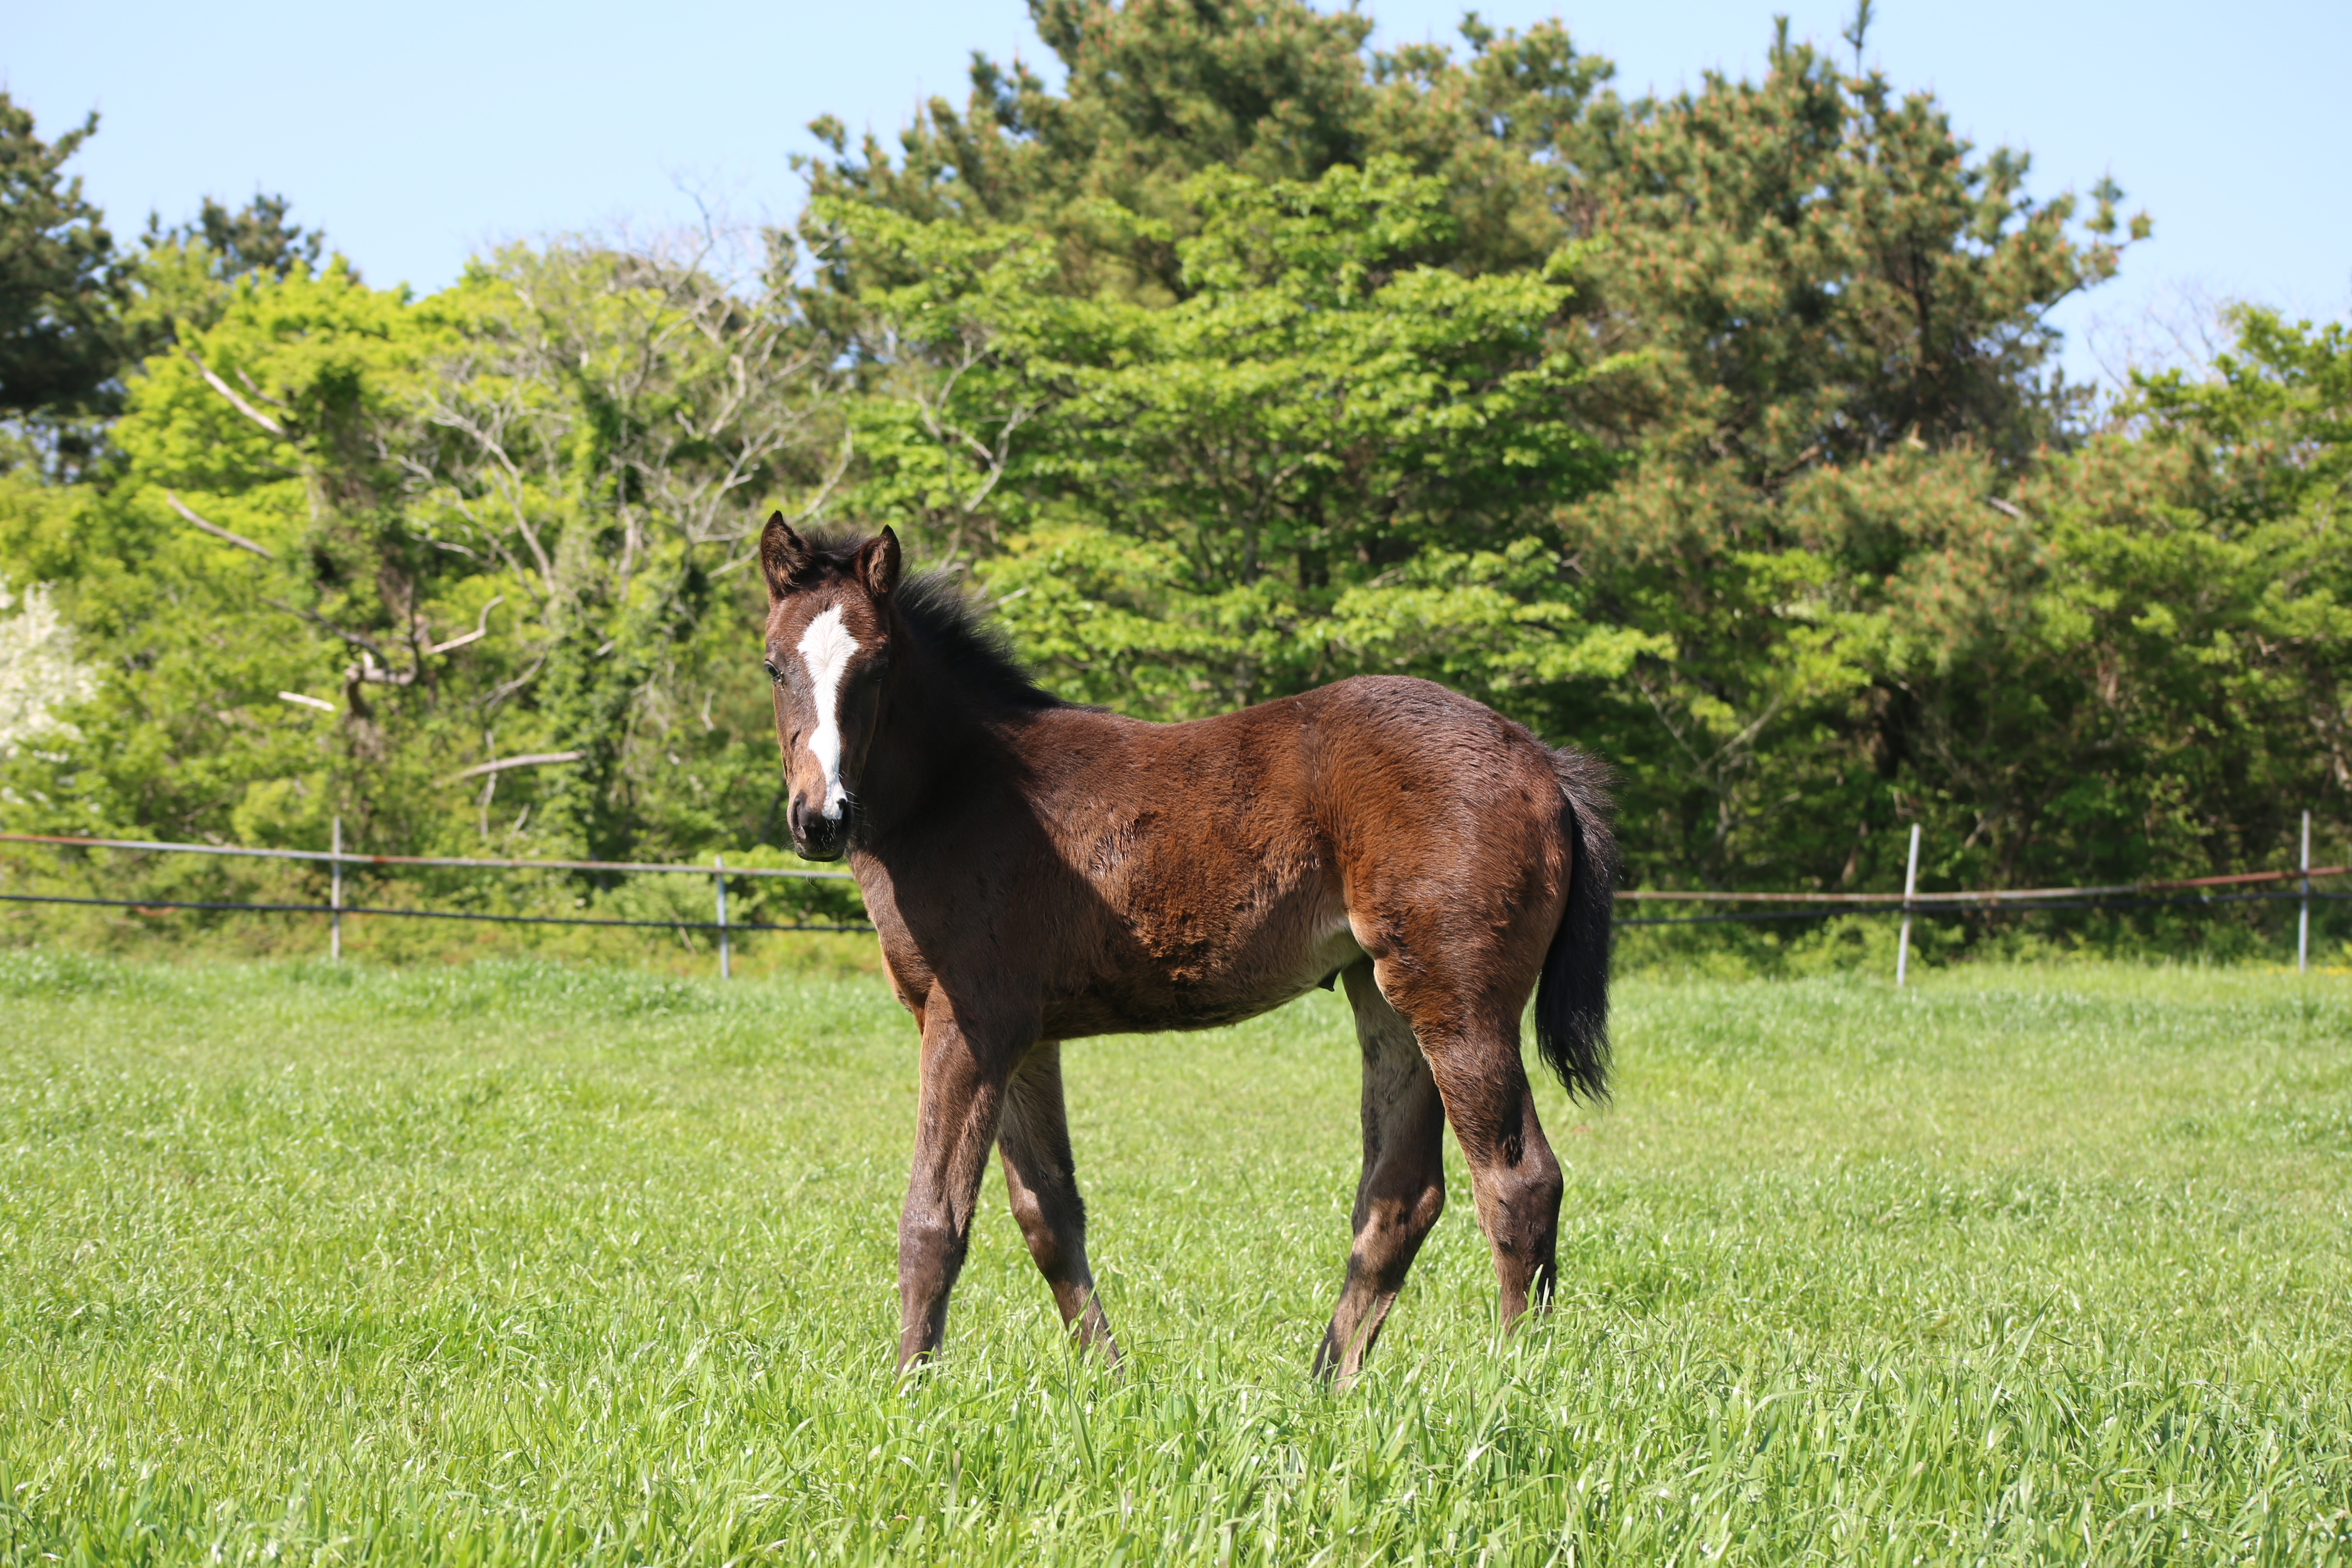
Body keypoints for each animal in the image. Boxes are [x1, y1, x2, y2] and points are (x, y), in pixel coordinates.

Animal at [757, 522, 1618, 1382]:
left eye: (877, 666)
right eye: (773, 664)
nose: (821, 819)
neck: (960, 791)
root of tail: (1545, 763)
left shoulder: (972, 1021)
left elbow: (933, 1218)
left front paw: (909, 1389)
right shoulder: (1027, 1038)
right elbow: (1048, 1213)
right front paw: (1107, 1381)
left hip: (1459, 1000)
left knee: (1519, 1180)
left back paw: (1514, 1379)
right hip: (1386, 997)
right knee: (1402, 1197)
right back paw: (1326, 1385)